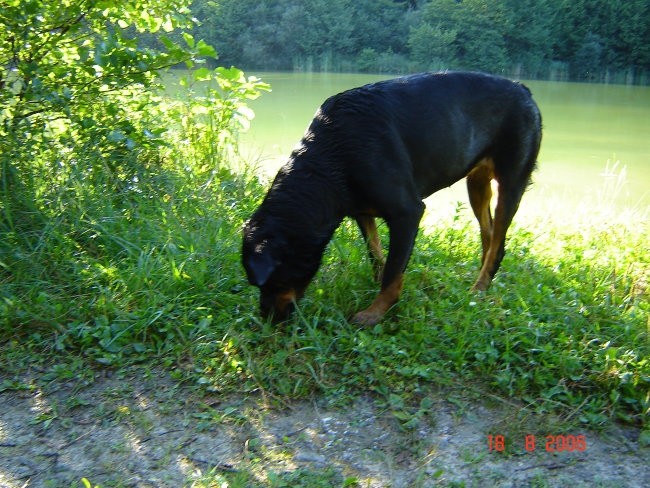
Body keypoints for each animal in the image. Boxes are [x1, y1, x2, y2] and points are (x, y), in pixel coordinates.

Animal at [240, 71, 540, 324]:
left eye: (271, 282)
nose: (265, 318)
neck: (333, 157)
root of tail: (522, 88)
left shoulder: (407, 213)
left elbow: (394, 270)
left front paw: (375, 313)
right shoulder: (361, 210)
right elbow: (376, 253)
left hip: (512, 182)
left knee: (499, 242)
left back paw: (479, 289)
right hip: (476, 183)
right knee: (489, 234)